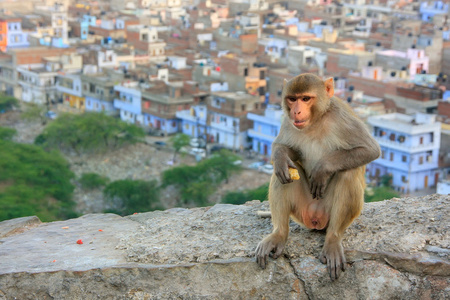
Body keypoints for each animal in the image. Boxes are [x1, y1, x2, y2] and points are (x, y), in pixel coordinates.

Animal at [256, 73, 380, 282]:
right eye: (292, 99)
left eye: (306, 98)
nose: (296, 111)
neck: (316, 121)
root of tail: (315, 218)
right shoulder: (289, 122)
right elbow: (286, 150)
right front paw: (280, 156)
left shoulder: (341, 118)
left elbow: (369, 150)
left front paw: (323, 169)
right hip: (301, 209)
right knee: (283, 173)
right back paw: (278, 235)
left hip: (328, 213)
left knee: (348, 173)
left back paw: (333, 240)